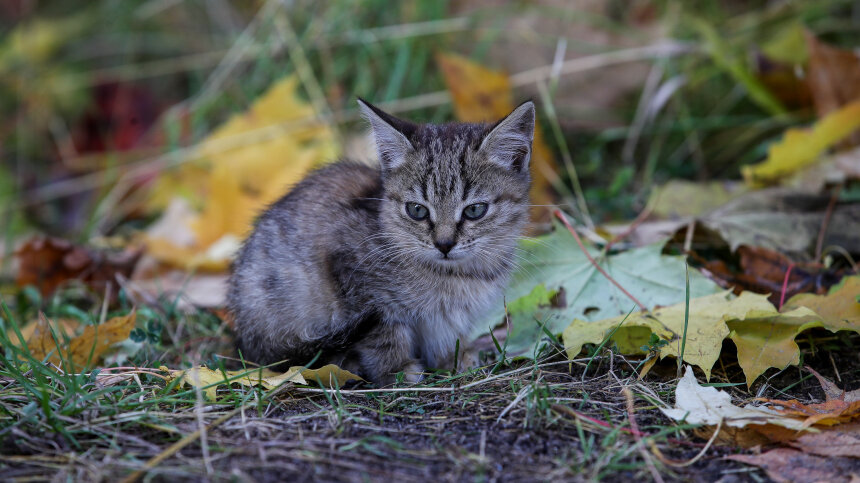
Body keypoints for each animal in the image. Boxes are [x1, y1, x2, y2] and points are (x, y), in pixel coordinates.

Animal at [232, 98, 536, 386]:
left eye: (475, 210)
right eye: (417, 210)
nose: (444, 244)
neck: (457, 275)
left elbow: (446, 333)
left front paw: (453, 357)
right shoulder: (358, 282)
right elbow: (384, 334)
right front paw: (397, 369)